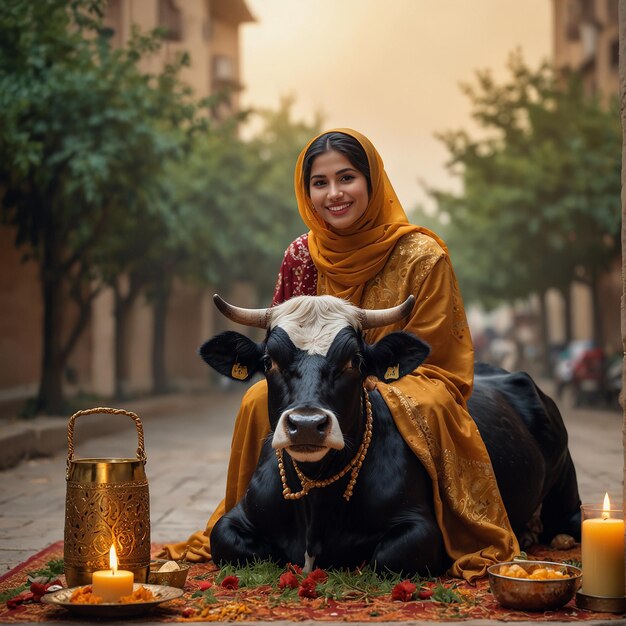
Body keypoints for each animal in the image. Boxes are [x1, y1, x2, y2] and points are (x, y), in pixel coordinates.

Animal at [201, 294, 580, 576]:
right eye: (268, 361)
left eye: (355, 361)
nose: (307, 424)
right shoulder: (238, 518)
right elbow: (227, 542)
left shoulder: (422, 530)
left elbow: (388, 557)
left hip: (566, 482)